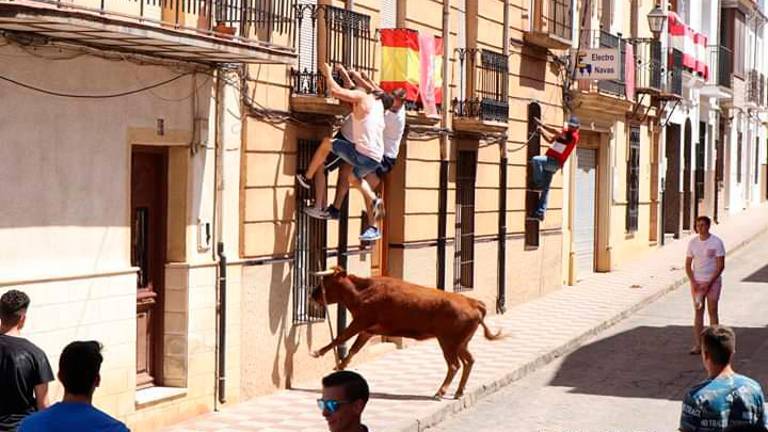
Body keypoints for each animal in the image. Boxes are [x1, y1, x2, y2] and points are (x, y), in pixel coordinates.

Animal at [312, 266, 504, 398]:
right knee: (469, 361)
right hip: (461, 343)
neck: (363, 291)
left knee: (454, 365)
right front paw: (340, 365)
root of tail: (473, 302)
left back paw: (440, 392)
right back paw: (458, 391)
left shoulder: (360, 322)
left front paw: (317, 352)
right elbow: (353, 349)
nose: (312, 295)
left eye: (327, 282)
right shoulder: (368, 330)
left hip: (449, 342)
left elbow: (340, 337)